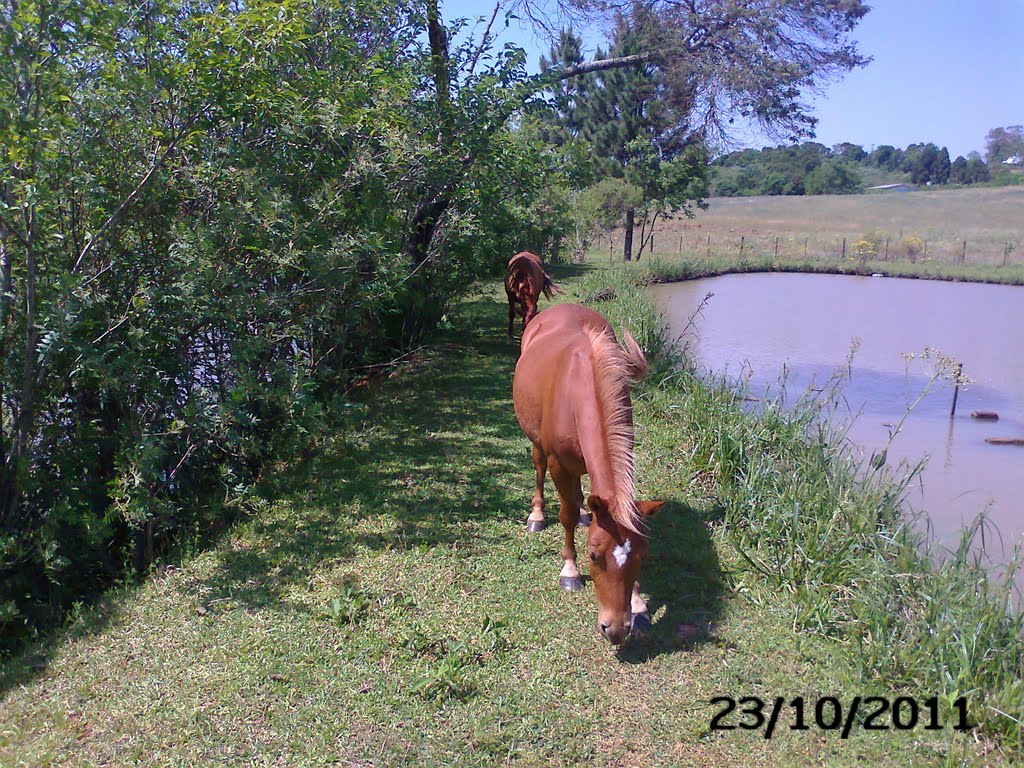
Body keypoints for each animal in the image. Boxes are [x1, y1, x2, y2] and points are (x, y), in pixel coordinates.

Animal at [512, 303, 663, 647]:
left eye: (643, 556)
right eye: (593, 557)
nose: (616, 629)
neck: (583, 385)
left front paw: (638, 604)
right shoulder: (558, 464)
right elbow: (565, 515)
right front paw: (569, 570)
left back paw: (585, 511)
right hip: (538, 444)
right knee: (539, 468)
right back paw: (537, 514)